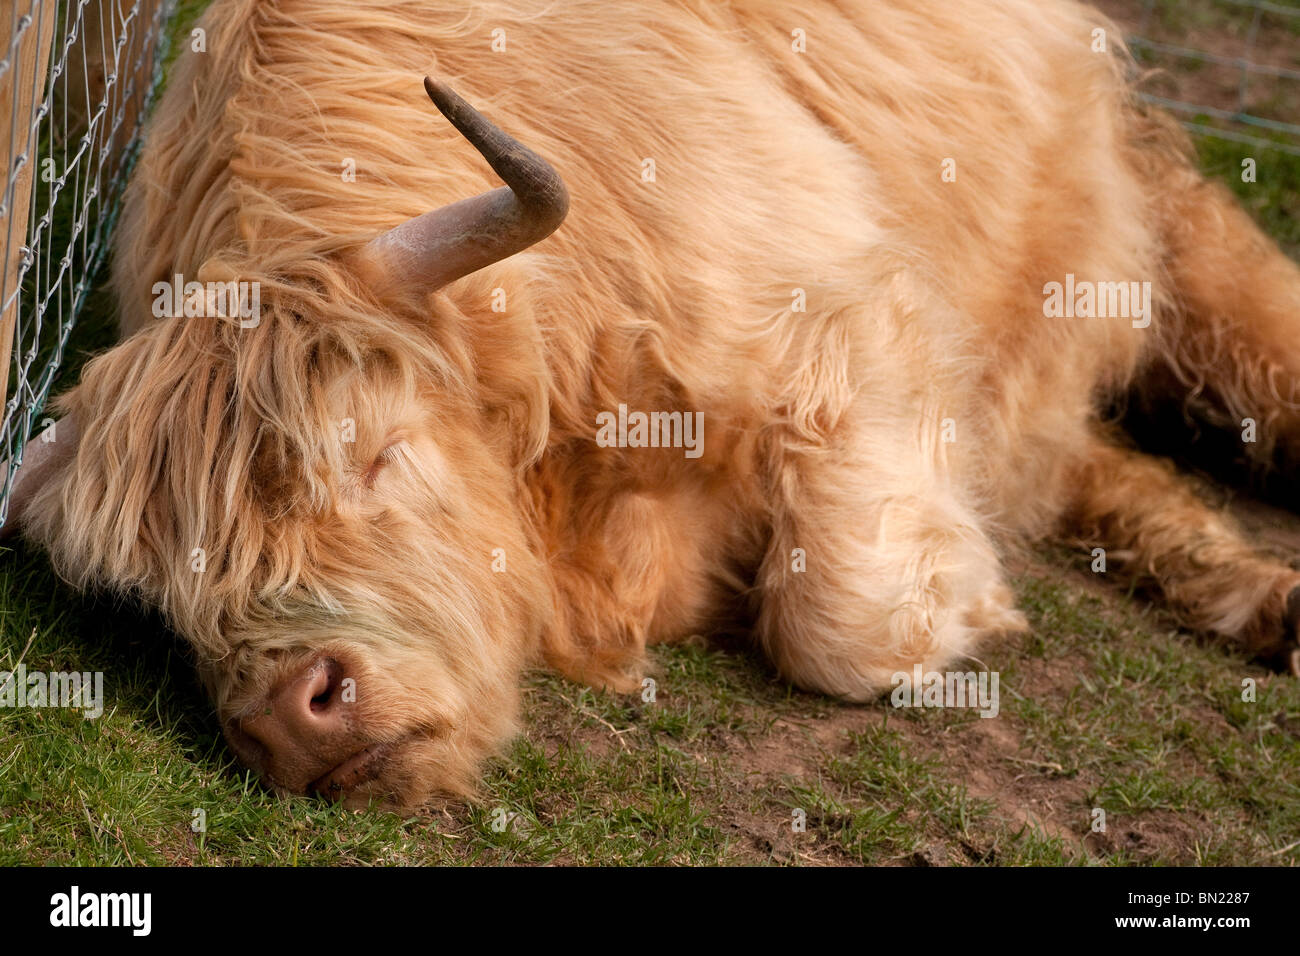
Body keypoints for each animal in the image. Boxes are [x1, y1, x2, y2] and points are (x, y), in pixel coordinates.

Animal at [2, 0, 1300, 806]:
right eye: (159, 593)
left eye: (372, 453)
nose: (289, 717)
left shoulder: (848, 323)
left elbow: (843, 625)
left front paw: (957, 609)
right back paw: (1261, 600)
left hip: (1125, 225)